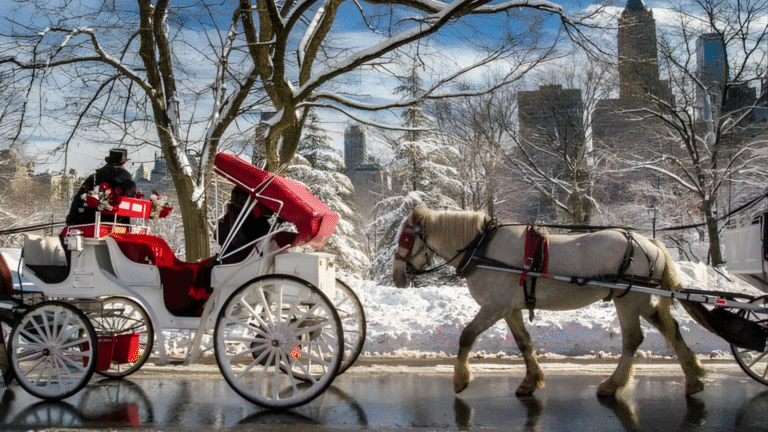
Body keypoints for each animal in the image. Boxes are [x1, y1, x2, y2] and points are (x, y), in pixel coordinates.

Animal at [393, 205, 705, 397]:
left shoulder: (494, 307)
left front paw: (460, 379)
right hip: (640, 300)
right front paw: (531, 381)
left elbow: (467, 336)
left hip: (627, 299)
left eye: (406, 238)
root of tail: (651, 244)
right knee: (669, 328)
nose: (397, 276)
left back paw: (612, 384)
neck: (481, 249)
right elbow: (524, 343)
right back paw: (693, 377)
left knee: (633, 339)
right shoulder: (510, 308)